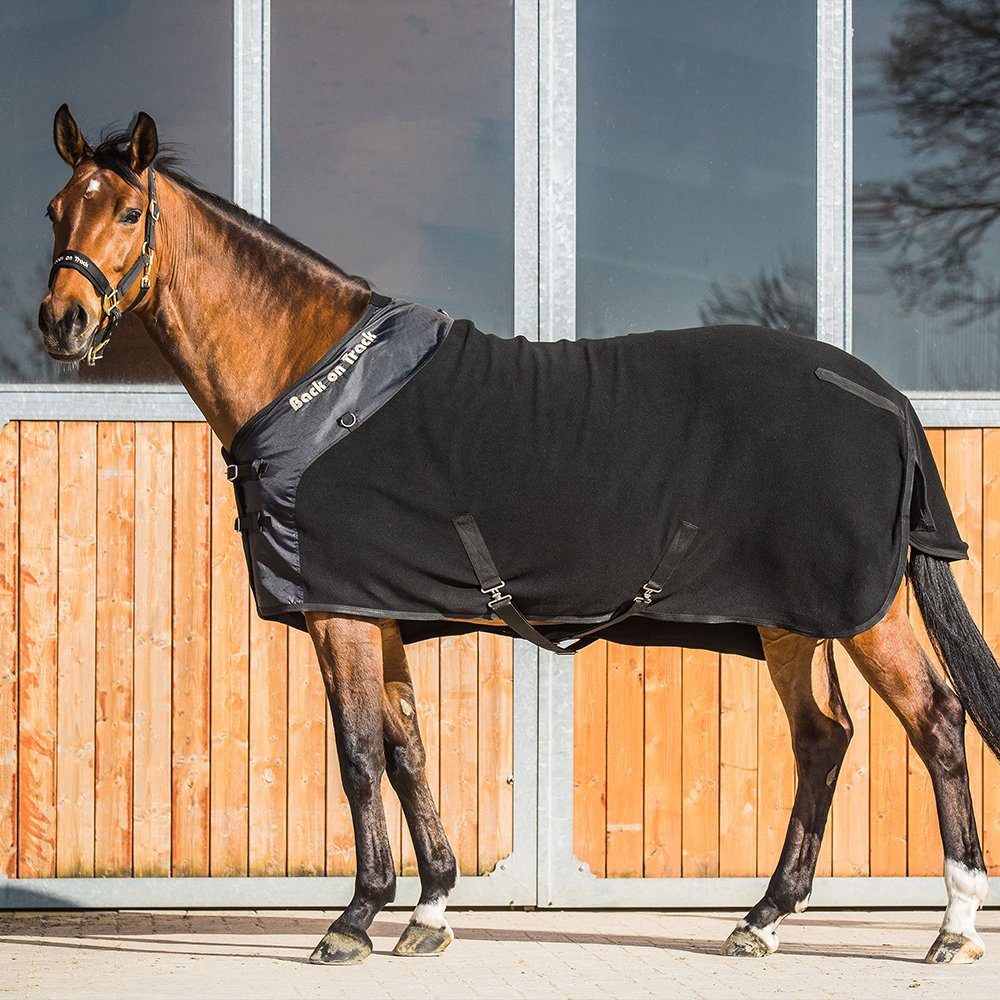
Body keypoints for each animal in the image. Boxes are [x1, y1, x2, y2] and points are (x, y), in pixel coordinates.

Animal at [36, 105, 998, 965]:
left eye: (128, 212)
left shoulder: (342, 615)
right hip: (790, 623)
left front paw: (354, 920)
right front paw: (430, 913)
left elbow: (358, 757)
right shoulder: (383, 615)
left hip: (864, 614)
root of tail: (888, 400)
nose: (61, 321)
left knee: (938, 722)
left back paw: (952, 927)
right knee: (822, 738)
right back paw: (761, 920)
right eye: (55, 209)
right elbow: (409, 751)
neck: (315, 384)